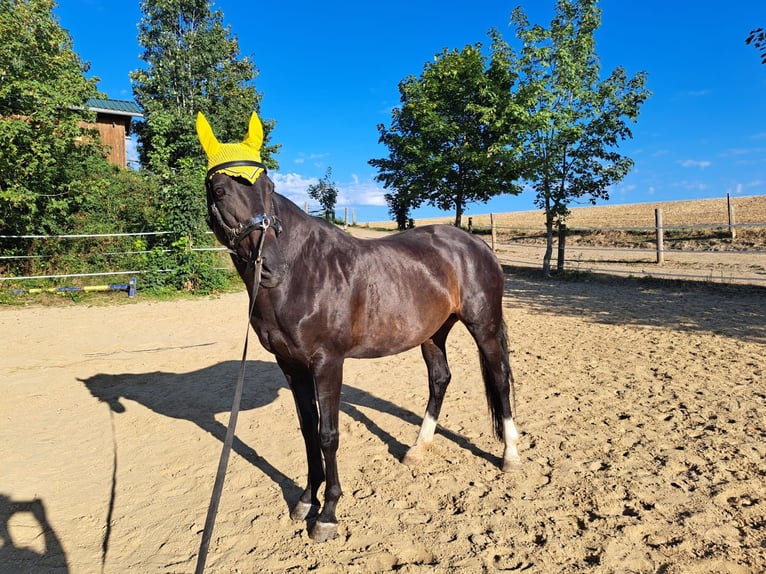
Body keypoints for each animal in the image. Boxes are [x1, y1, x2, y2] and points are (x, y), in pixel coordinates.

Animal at [196, 111, 521, 542]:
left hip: (483, 324)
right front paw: (306, 500)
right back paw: (417, 449)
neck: (303, 271)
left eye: (269, 186)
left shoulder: (327, 363)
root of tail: (476, 244)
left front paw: (328, 513)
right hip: (433, 332)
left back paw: (511, 456)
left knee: (499, 379)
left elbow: (328, 434)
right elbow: (308, 429)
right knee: (440, 379)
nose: (271, 268)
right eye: (218, 189)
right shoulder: (291, 365)